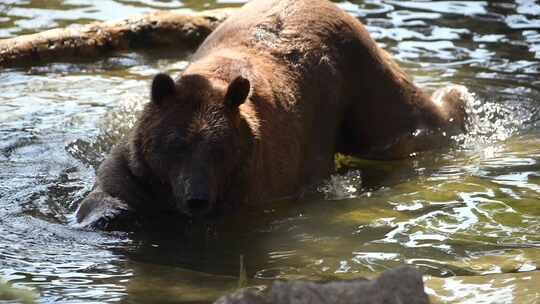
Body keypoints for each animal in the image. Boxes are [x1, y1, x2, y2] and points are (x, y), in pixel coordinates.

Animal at [74, 0, 466, 229]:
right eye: (175, 144)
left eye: (219, 149)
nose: (197, 198)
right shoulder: (138, 171)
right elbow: (109, 192)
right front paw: (100, 217)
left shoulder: (250, 187)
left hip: (358, 85)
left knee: (403, 124)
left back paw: (456, 100)